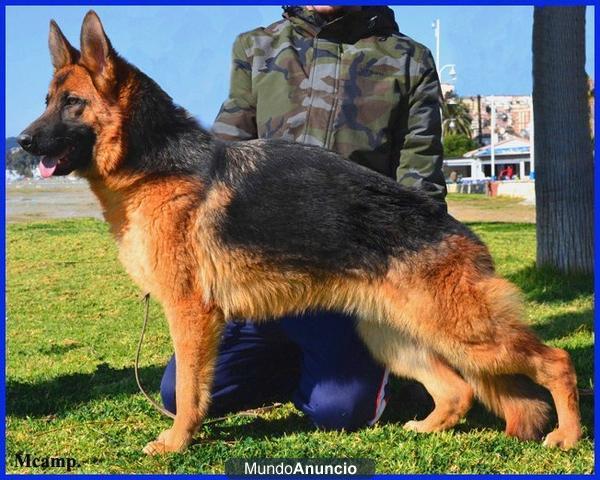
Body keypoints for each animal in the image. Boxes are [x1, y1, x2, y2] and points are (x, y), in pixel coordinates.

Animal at [19, 11, 580, 454]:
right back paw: (426, 428)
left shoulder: (190, 314)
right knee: (458, 390)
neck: (153, 165)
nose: (22, 141)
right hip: (395, 337)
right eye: (46, 100)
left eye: (72, 103)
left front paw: (176, 442)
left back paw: (568, 436)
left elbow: (190, 394)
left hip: (463, 331)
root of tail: (453, 227)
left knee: (556, 361)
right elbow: (194, 391)